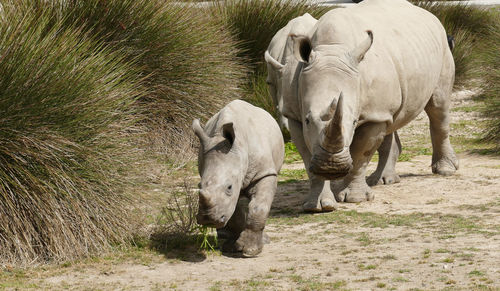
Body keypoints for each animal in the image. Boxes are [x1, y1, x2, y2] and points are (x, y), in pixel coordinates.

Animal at [192, 100, 284, 258]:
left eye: (229, 187)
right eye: (199, 185)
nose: (208, 220)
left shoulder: (265, 173)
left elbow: (259, 206)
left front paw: (250, 251)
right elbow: (234, 212)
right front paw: (232, 248)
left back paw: (264, 241)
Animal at [292, 0, 458, 203]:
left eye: (354, 121)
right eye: (307, 120)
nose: (331, 166)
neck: (333, 49)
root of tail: (431, 16)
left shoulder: (373, 116)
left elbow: (361, 153)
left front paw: (354, 198)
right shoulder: (295, 112)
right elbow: (308, 152)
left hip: (442, 49)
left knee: (438, 107)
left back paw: (445, 170)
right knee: (392, 121)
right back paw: (382, 180)